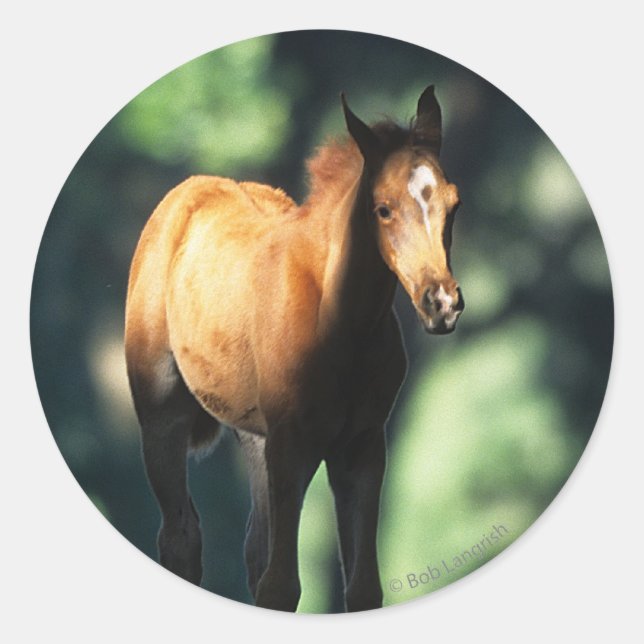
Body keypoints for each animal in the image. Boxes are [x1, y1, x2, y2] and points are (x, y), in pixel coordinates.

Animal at [124, 85, 463, 612]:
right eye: (383, 208)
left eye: (454, 204)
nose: (441, 303)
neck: (342, 327)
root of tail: (184, 194)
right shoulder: (292, 445)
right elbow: (281, 586)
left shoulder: (363, 447)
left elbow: (361, 588)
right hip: (163, 417)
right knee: (181, 537)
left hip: (254, 435)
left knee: (252, 548)